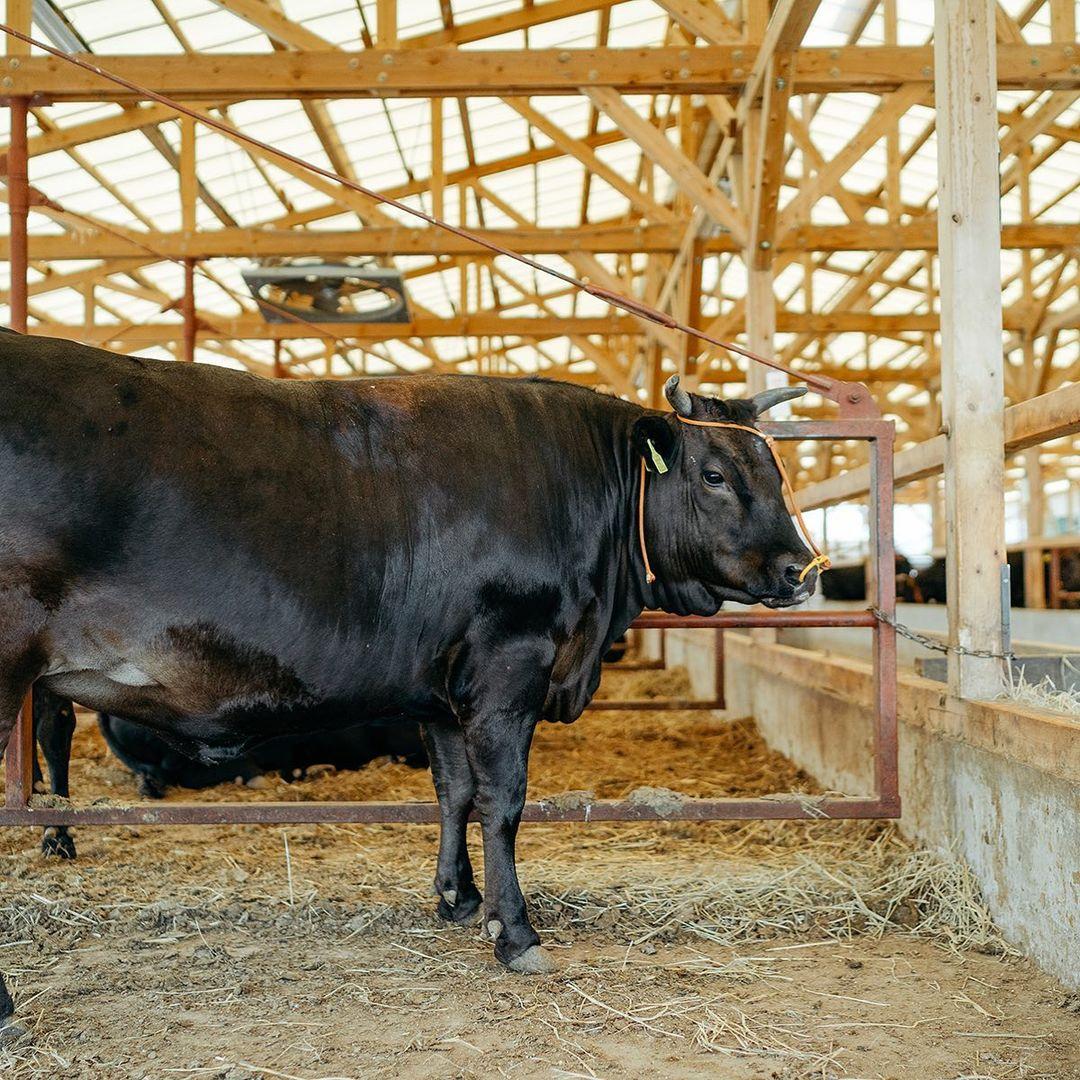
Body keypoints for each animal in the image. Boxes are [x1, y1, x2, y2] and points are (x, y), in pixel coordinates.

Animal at [0, 332, 816, 1023]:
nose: (800, 568)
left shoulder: (439, 691)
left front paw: (458, 897)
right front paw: (516, 932)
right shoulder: (507, 666)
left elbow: (453, 791)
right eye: (714, 475)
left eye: (775, 472)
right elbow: (503, 800)